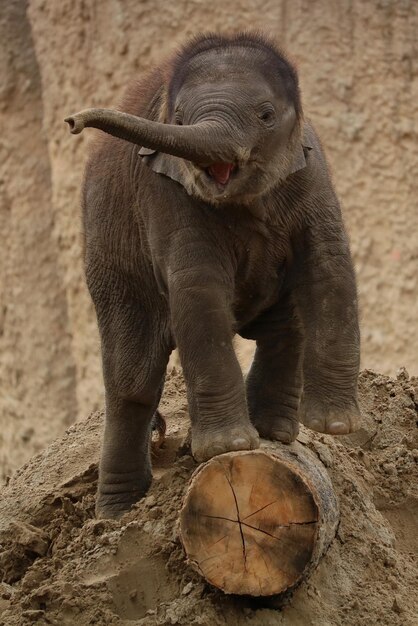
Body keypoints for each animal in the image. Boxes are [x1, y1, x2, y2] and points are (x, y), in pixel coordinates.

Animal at [67, 31, 360, 516]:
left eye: (265, 115)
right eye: (178, 118)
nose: (72, 121)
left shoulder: (312, 176)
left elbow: (329, 262)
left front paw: (335, 426)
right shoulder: (165, 193)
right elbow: (196, 288)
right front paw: (227, 448)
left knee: (284, 328)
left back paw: (274, 433)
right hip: (110, 263)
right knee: (132, 382)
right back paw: (117, 514)